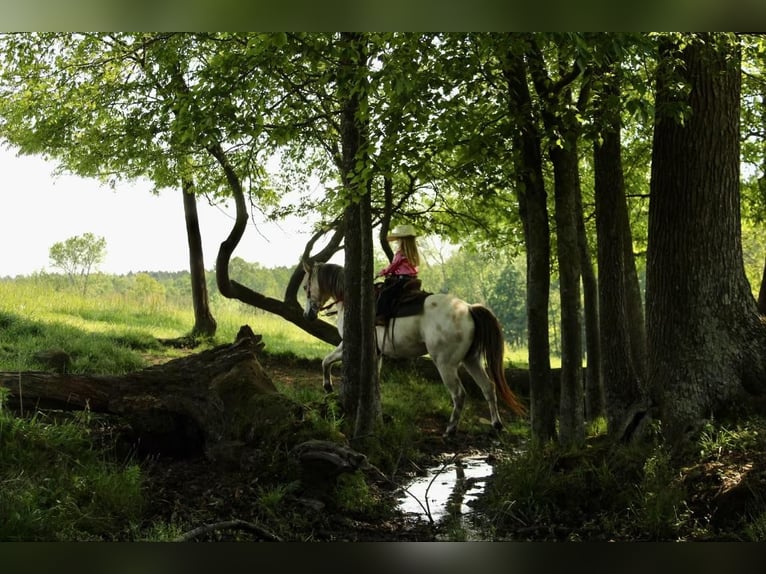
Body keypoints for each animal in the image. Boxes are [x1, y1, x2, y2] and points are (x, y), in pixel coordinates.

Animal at [300, 260, 528, 436]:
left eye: (305, 287)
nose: (307, 315)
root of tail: (469, 309)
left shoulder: (347, 344)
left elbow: (326, 360)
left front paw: (327, 386)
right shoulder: (376, 352)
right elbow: (372, 376)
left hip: (445, 364)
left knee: (459, 394)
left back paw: (450, 430)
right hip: (471, 360)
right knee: (488, 387)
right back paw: (496, 425)